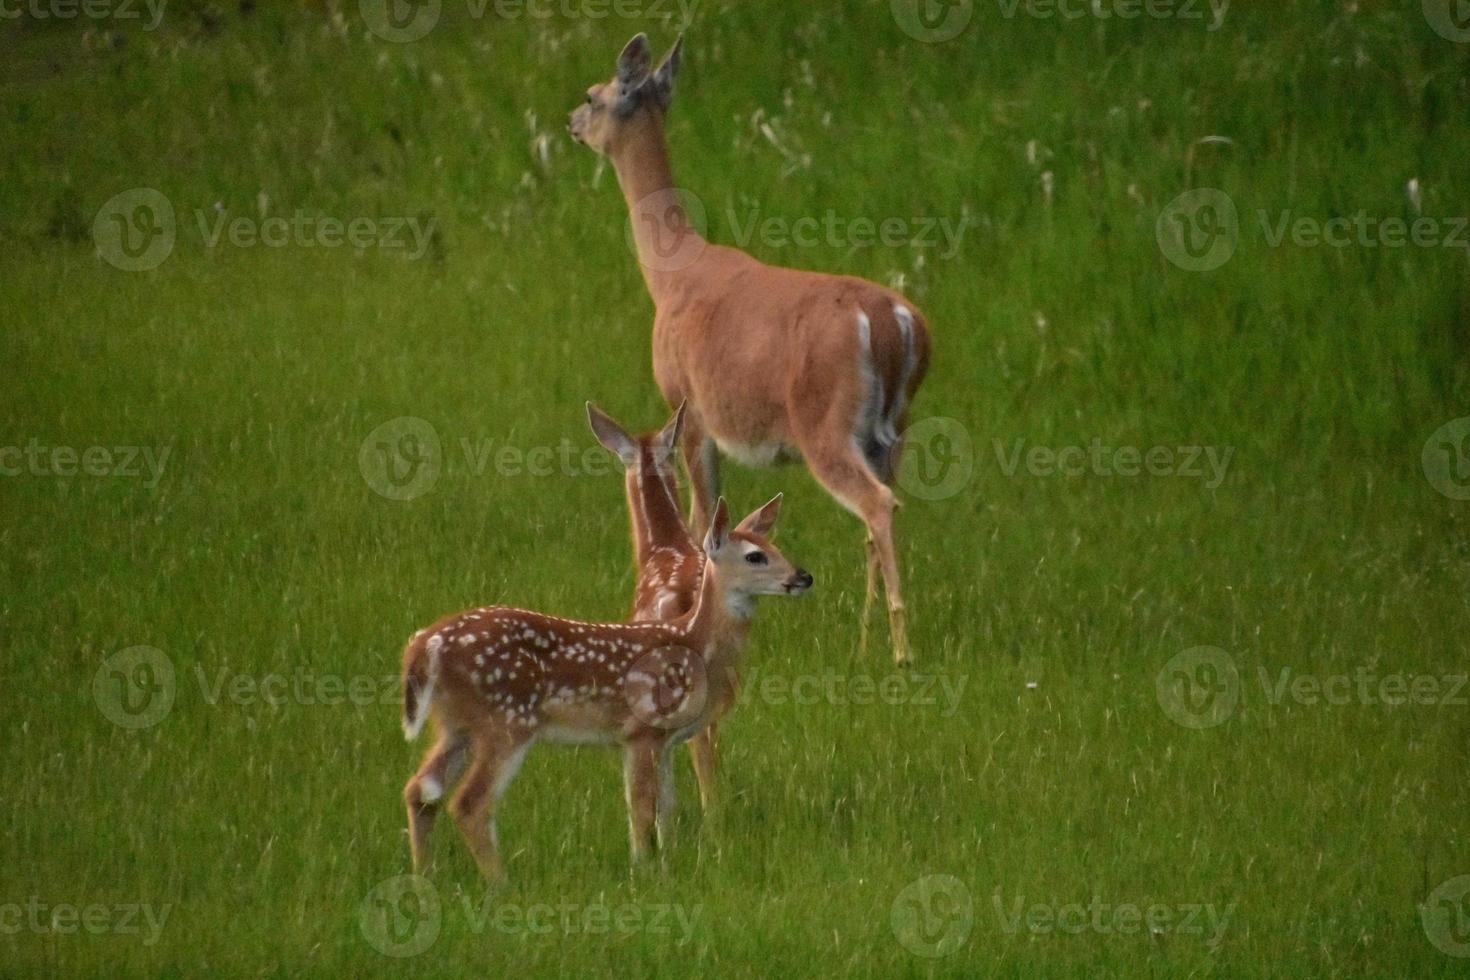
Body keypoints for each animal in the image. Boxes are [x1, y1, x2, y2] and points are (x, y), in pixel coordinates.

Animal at [402, 499, 811, 881]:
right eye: (755, 556)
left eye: (774, 545)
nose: (803, 576)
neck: (696, 646)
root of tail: (425, 644)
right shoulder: (640, 730)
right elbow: (642, 805)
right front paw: (642, 868)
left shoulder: (664, 740)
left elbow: (668, 805)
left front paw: (670, 861)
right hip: (506, 719)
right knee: (469, 802)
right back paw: (500, 884)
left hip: (454, 724)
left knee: (420, 790)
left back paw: (425, 877)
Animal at [564, 36, 929, 667]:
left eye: (592, 94)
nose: (570, 122)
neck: (671, 272)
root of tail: (892, 321)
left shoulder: (688, 405)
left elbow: (698, 517)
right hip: (892, 429)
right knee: (879, 512)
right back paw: (865, 642)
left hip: (825, 420)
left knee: (878, 504)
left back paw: (901, 651)